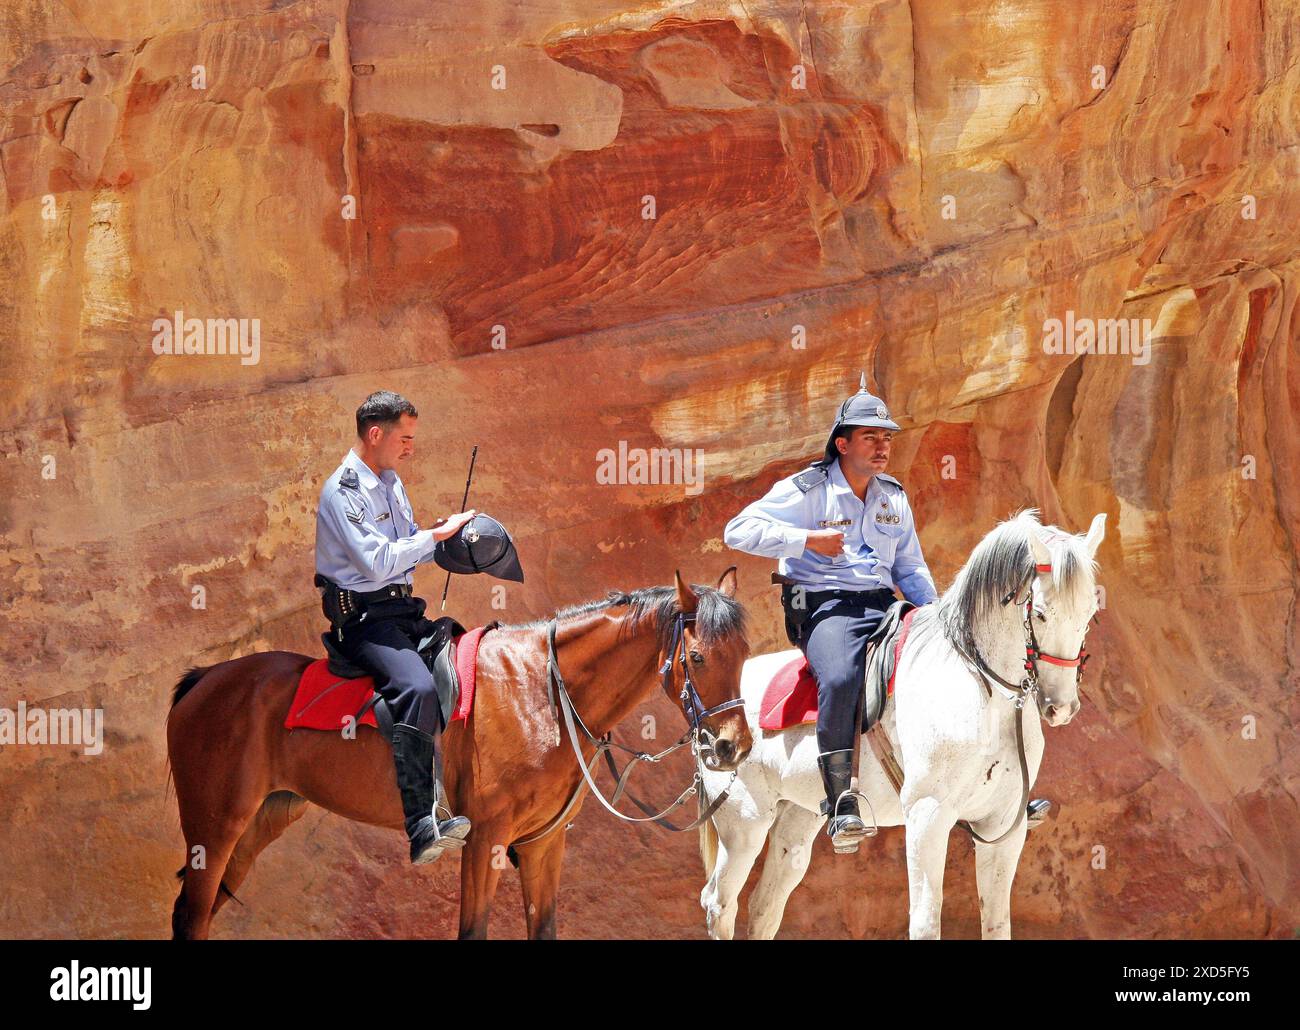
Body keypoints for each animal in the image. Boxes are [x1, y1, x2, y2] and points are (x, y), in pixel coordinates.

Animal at [165, 572, 754, 941]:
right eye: (698, 656)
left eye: (744, 654)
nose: (733, 745)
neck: (543, 691)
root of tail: (205, 680)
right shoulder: (485, 839)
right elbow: (472, 930)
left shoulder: (543, 845)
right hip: (214, 828)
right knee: (193, 915)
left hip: (259, 823)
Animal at [696, 509, 1102, 936]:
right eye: (1040, 613)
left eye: (1089, 614)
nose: (1061, 707)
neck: (985, 695)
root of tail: (715, 709)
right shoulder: (928, 816)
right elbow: (925, 922)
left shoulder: (1002, 824)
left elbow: (996, 923)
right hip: (744, 823)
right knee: (719, 903)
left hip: (798, 820)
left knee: (764, 906)